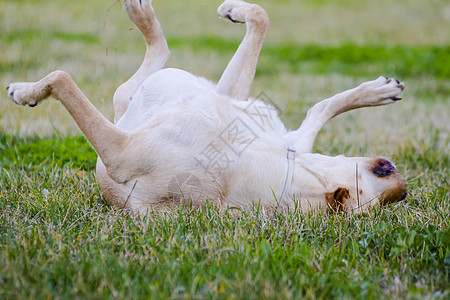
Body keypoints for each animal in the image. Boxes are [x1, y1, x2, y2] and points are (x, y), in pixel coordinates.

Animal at [5, 0, 406, 214]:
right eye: (382, 178)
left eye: (383, 195)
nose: (403, 187)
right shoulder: (287, 133)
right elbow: (321, 106)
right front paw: (378, 92)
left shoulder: (120, 153)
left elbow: (62, 79)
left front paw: (28, 92)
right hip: (222, 92)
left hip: (136, 104)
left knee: (144, 69)